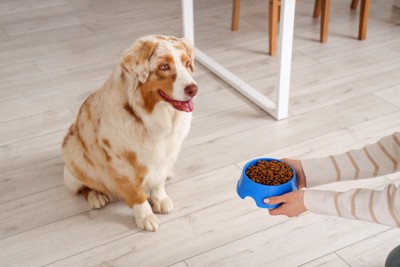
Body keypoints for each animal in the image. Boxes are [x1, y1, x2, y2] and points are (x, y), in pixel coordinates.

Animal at [61, 35, 198, 232]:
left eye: (187, 63)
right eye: (164, 66)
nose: (193, 89)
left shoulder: (165, 154)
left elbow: (158, 181)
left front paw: (160, 199)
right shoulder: (123, 162)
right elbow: (137, 193)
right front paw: (145, 217)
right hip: (73, 158)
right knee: (84, 187)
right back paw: (96, 196)